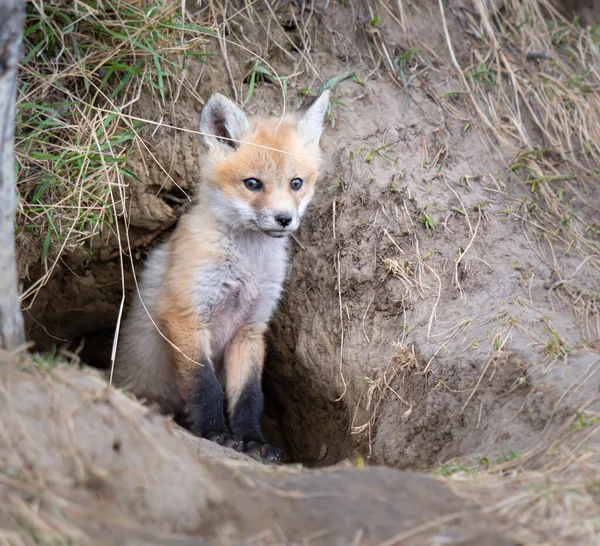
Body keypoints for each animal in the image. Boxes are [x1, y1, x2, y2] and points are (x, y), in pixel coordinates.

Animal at [115, 88, 330, 460]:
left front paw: (253, 441)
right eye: (253, 184)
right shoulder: (186, 316)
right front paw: (216, 433)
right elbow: (204, 386)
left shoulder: (250, 328)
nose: (284, 219)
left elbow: (249, 395)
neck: (246, 268)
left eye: (296, 183)